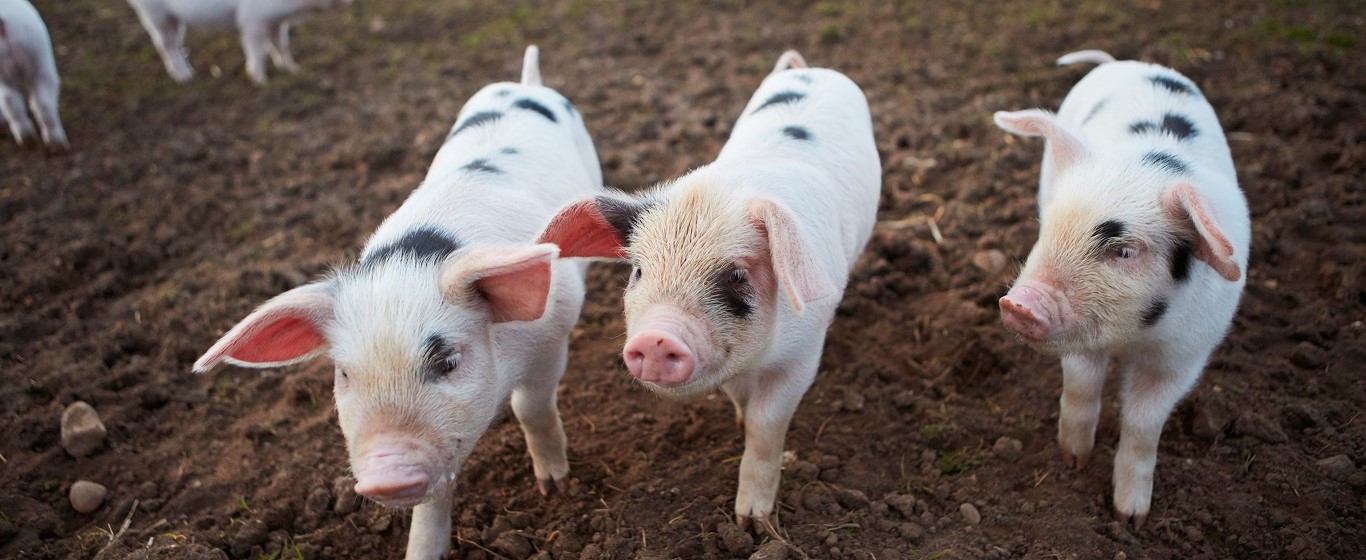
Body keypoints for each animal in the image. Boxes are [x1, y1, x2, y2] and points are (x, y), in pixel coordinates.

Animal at [125, 0, 352, 84]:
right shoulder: (251, 20)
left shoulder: (276, 21)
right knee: (164, 44)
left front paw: (294, 70)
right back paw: (185, 78)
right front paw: (260, 81)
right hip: (154, 14)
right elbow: (258, 51)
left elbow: (281, 44)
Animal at [194, 46, 602, 560]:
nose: (386, 474)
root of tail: (525, 84)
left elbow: (532, 408)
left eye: (447, 361)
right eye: (344, 374)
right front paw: (421, 551)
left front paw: (556, 487)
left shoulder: (552, 333)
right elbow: (434, 496)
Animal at [537, 50, 880, 530]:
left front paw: (751, 524)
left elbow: (766, 426)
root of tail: (809, 70)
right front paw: (737, 421)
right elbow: (740, 401)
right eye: (638, 270)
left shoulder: (805, 352)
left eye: (736, 275)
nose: (656, 337)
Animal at [993, 49, 1249, 528]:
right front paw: (1072, 460)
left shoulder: (1184, 355)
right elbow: (1080, 388)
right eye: (1048, 226)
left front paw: (1130, 519)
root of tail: (1122, 61)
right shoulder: (1079, 340)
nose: (1020, 304)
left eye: (1125, 251)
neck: (1133, 337)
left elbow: (1144, 426)